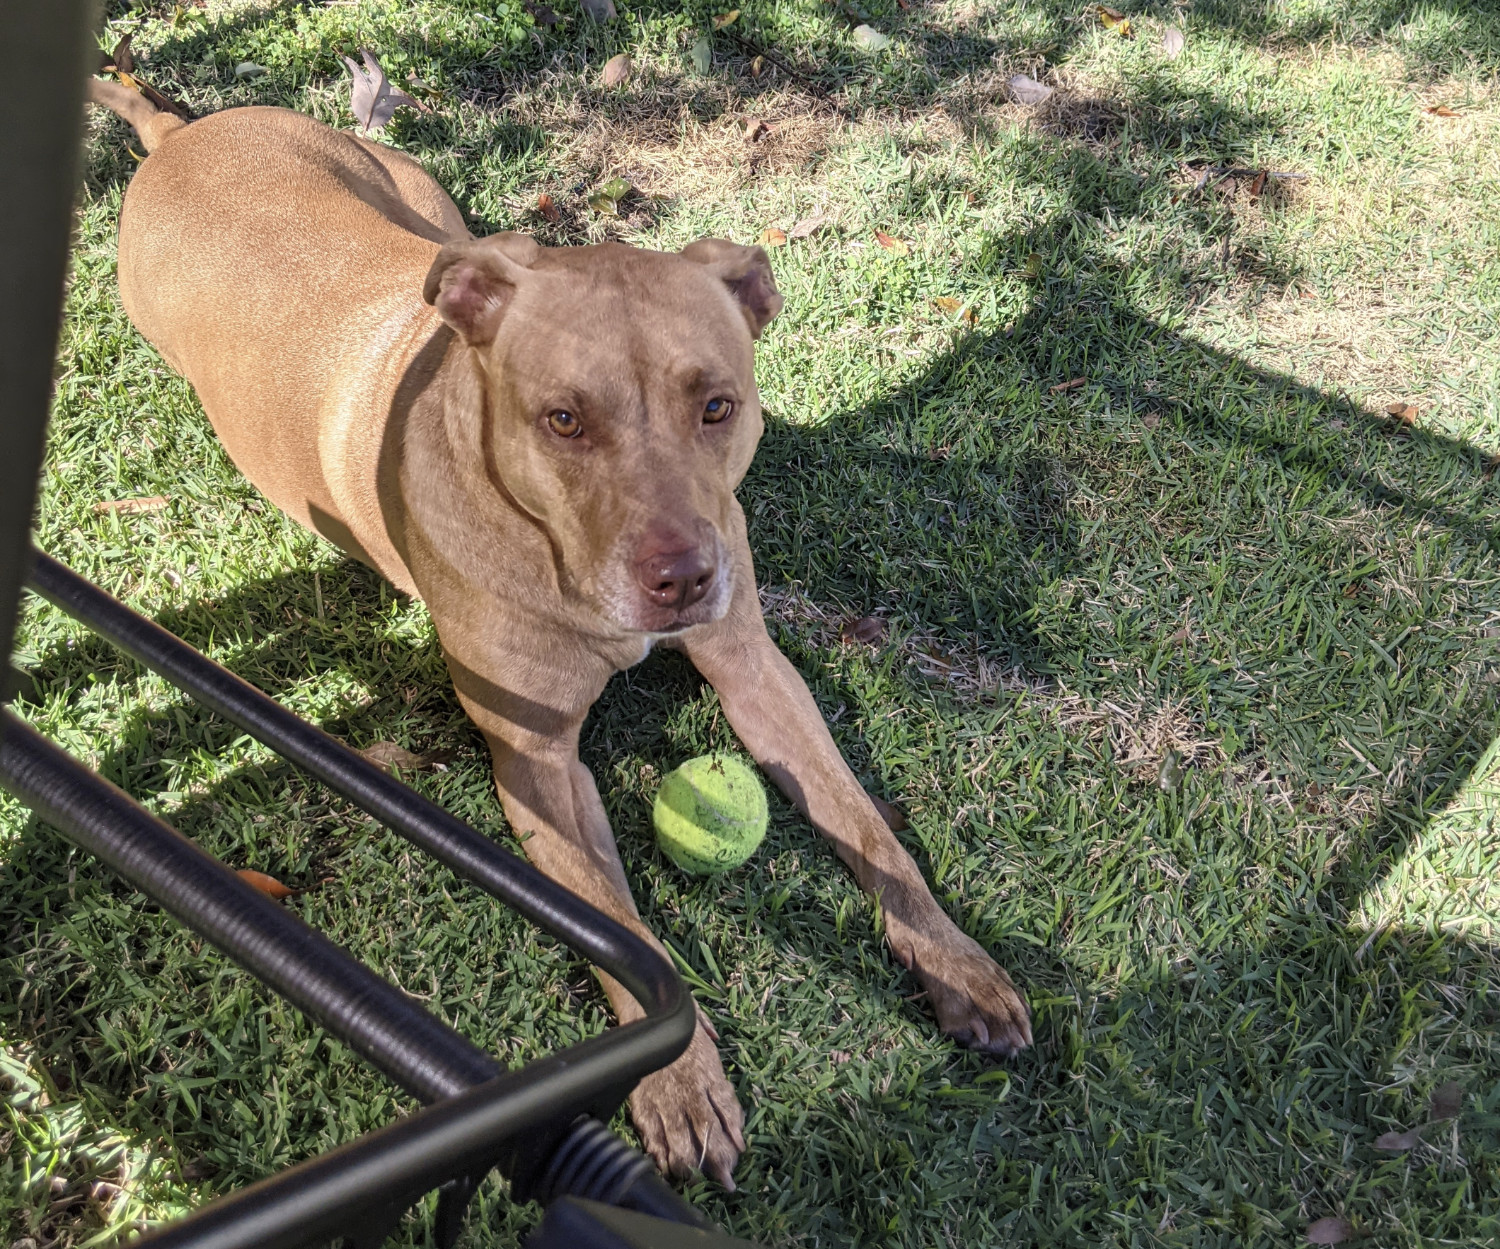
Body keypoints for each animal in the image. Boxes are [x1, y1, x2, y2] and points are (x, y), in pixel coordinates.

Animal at [90, 80, 1032, 1187]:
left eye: (719, 405)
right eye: (565, 421)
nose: (682, 578)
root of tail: (178, 135)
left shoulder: (756, 670)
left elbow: (870, 830)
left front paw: (955, 958)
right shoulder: (539, 765)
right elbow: (624, 928)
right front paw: (680, 1086)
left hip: (429, 206)